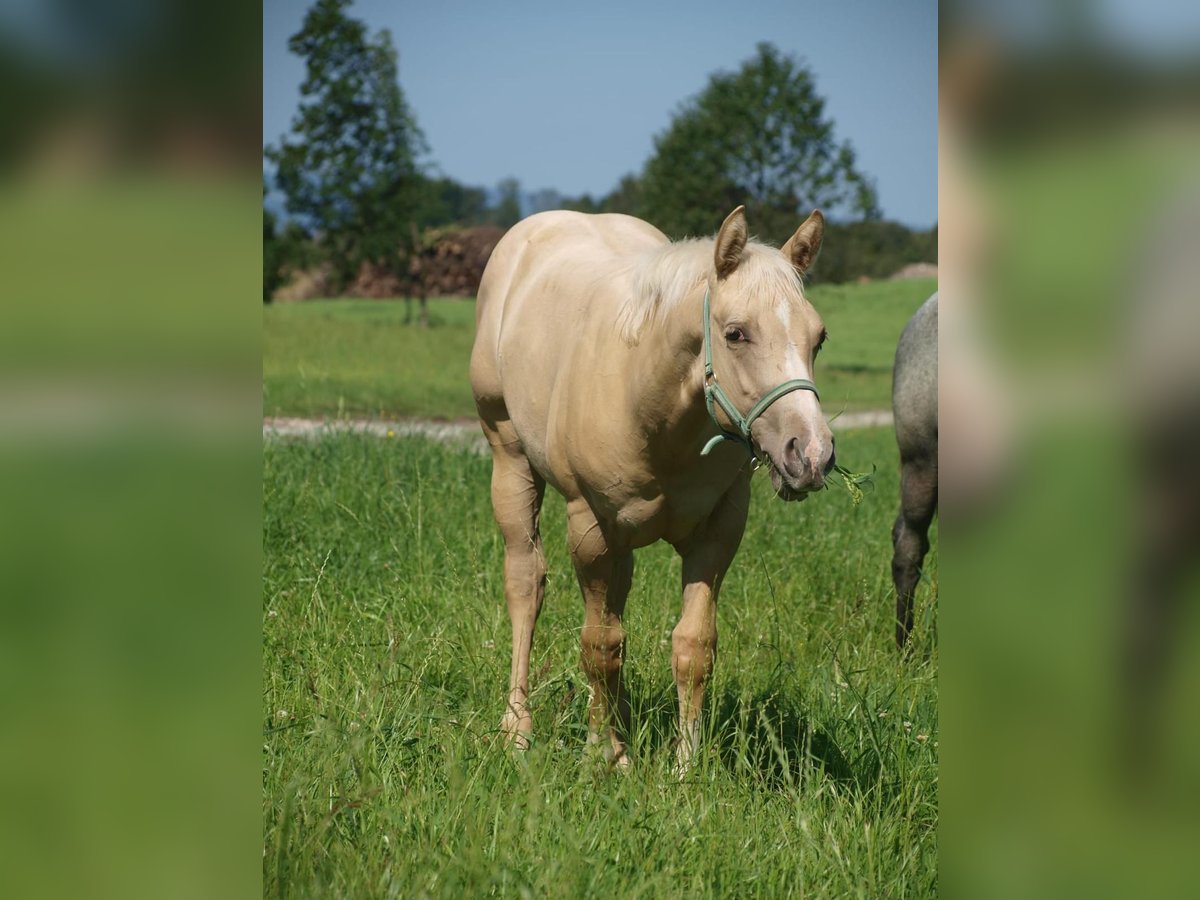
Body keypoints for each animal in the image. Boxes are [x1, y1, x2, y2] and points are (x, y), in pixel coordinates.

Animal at [468, 206, 835, 768]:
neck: (648, 407)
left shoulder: (718, 531)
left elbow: (692, 646)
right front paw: (603, 754)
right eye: (736, 334)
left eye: (818, 337)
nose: (811, 454)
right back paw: (518, 727)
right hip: (510, 461)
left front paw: (684, 765)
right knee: (526, 586)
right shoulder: (590, 530)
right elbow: (599, 645)